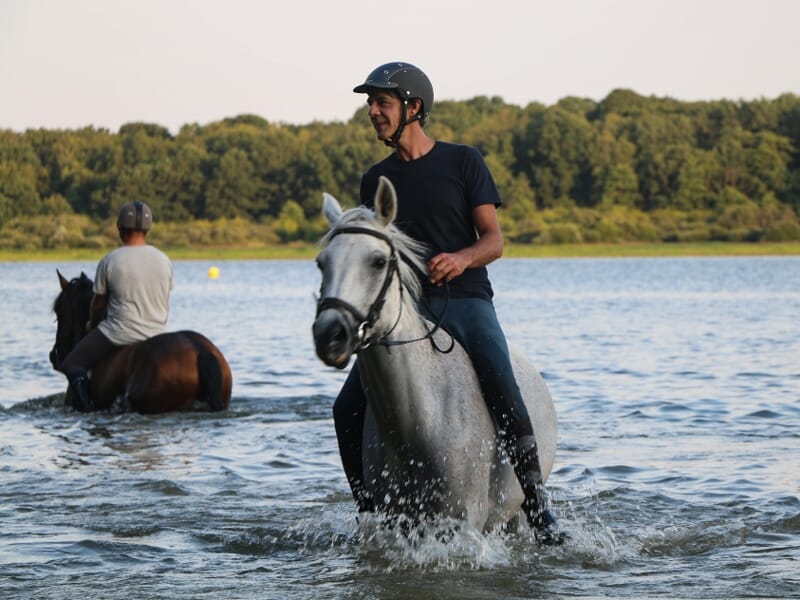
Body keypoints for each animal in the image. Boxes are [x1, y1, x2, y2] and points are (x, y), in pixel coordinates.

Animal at [312, 176, 558, 533]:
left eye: (378, 261)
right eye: (322, 263)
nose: (330, 335)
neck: (418, 422)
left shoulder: (464, 522)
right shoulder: (394, 521)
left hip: (518, 514)